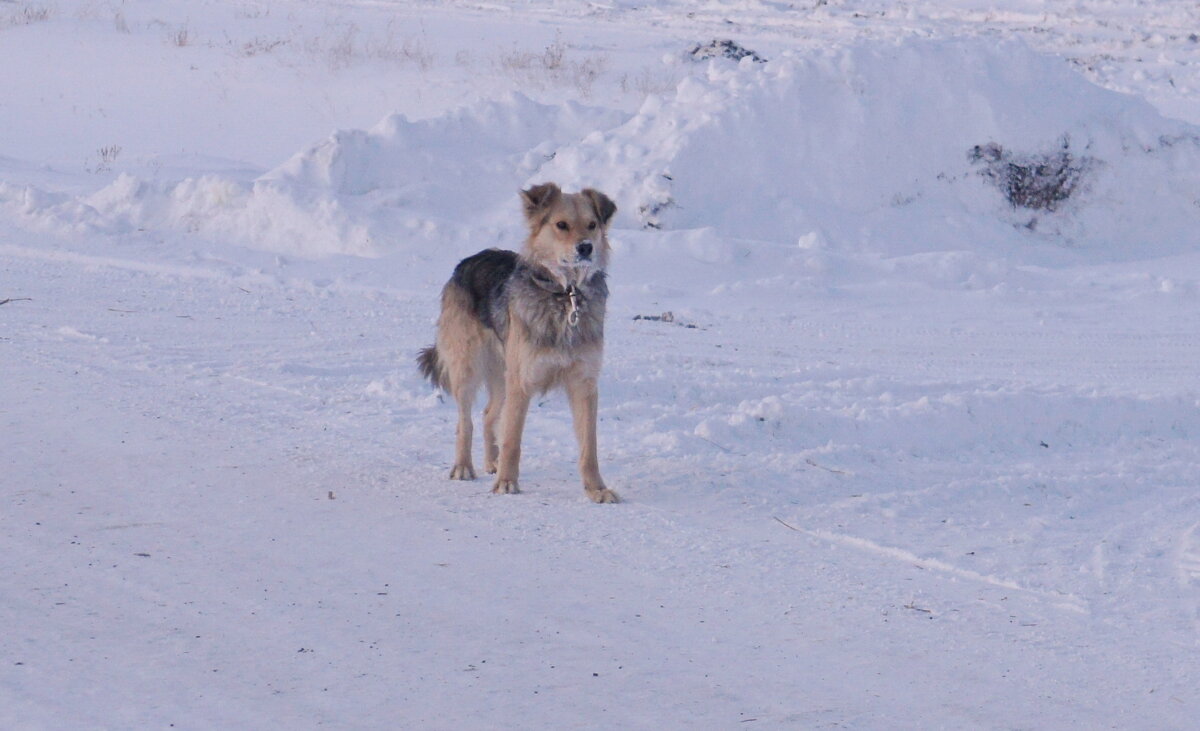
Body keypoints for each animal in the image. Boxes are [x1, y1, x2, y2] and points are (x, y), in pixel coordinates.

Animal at [417, 182, 619, 501]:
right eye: (561, 225)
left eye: (592, 225)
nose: (586, 247)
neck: (566, 294)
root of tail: (466, 261)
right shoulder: (522, 381)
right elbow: (512, 438)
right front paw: (507, 482)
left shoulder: (584, 383)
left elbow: (590, 447)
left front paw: (596, 489)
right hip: (469, 367)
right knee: (465, 422)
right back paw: (464, 466)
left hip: (502, 373)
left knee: (488, 415)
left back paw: (491, 462)